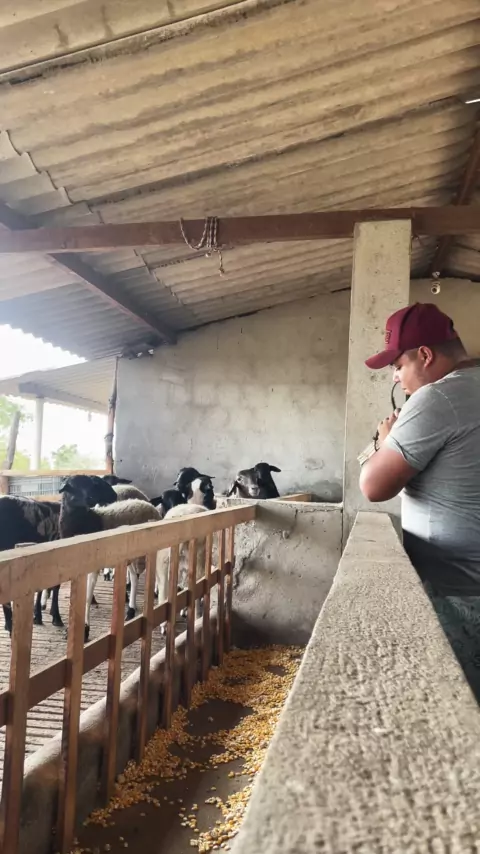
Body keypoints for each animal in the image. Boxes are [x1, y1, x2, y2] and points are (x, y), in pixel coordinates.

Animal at [58, 474, 161, 641]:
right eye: (72, 486)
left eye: (92, 483)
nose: (90, 498)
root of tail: (147, 503)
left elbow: (86, 597)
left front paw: (85, 629)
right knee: (134, 576)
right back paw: (130, 610)